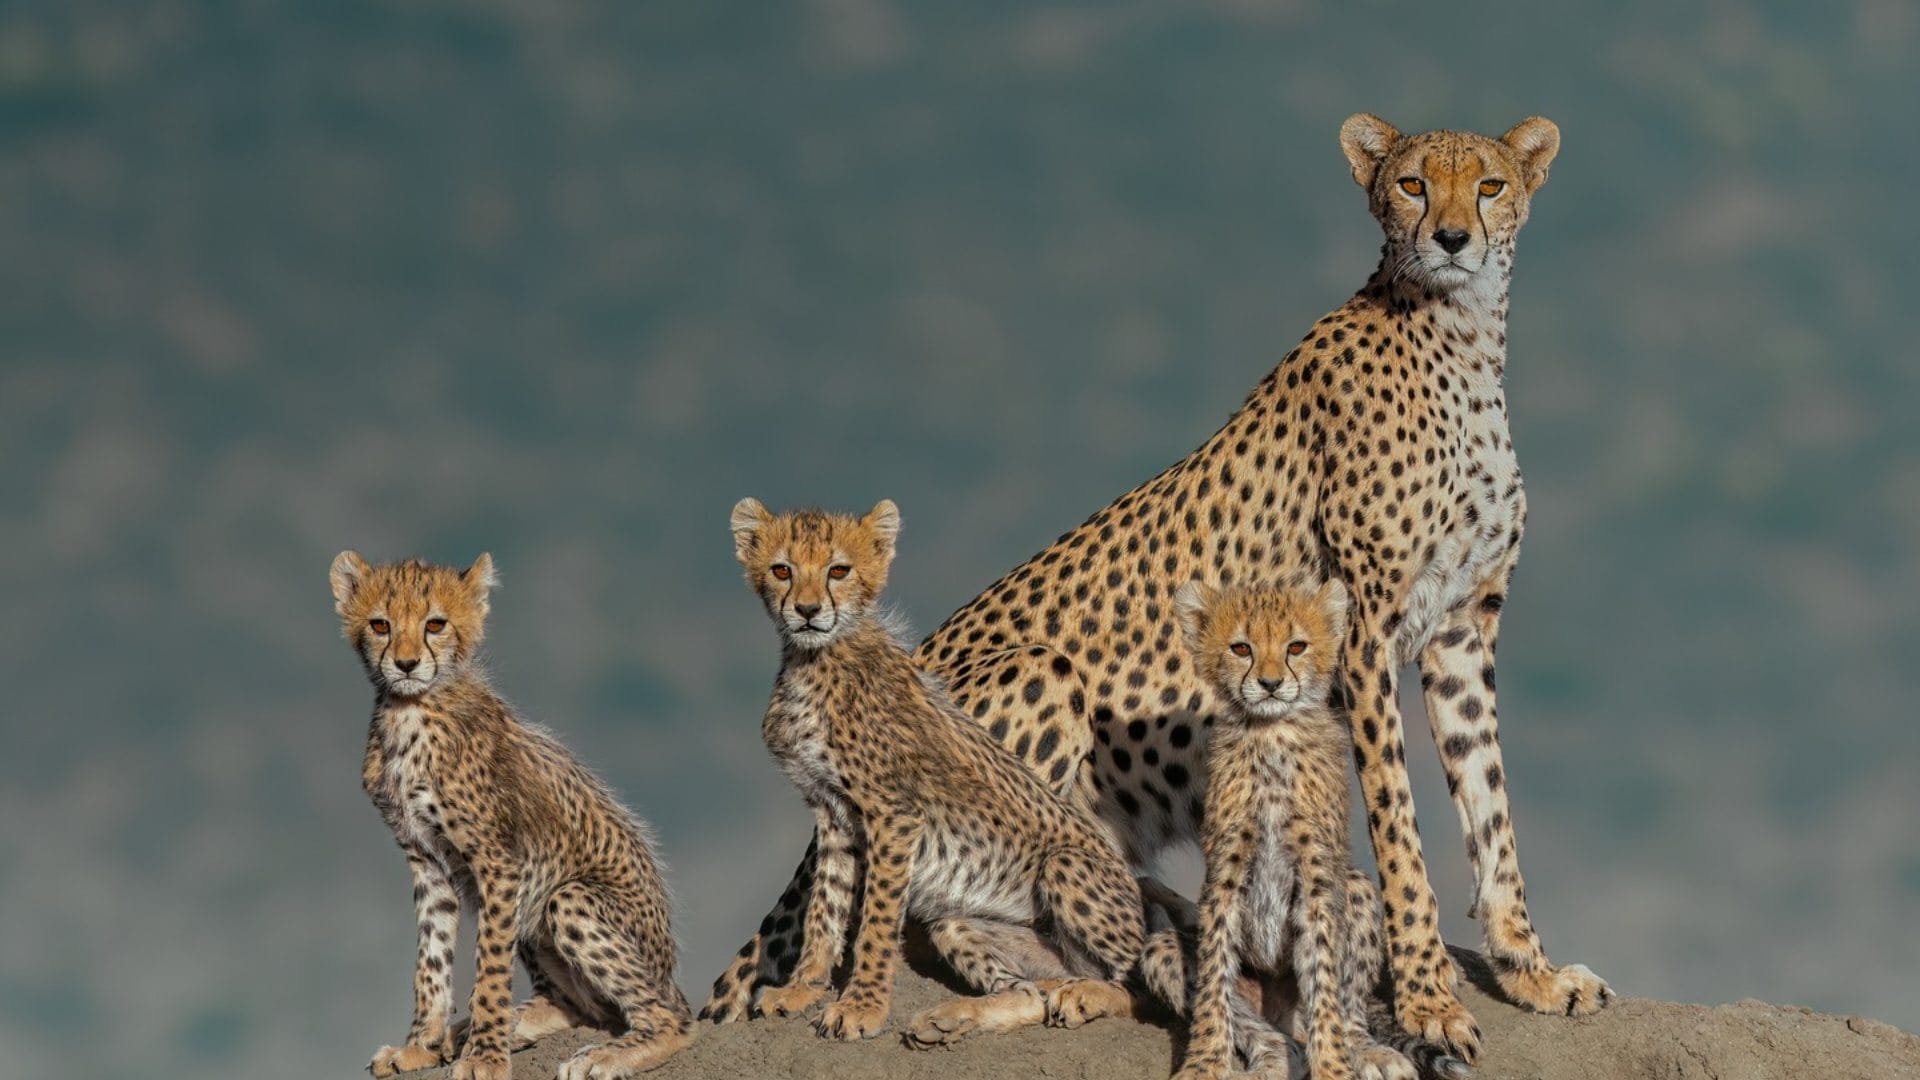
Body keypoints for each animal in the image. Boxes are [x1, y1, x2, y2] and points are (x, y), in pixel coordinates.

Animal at [331, 551, 692, 1080]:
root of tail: (670, 977)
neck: (410, 710)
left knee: (668, 1019)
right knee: (582, 1006)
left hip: (565, 896)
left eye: (435, 624)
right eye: (381, 625)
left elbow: (489, 968)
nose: (406, 664)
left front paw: (484, 1056)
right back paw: (485, 1030)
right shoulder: (428, 860)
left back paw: (602, 1054)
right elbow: (431, 959)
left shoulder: (498, 863)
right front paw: (421, 1045)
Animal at [729, 498, 1146, 1046]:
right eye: (783, 570)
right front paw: (803, 988)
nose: (807, 610)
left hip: (1066, 868)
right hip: (961, 924)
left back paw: (1085, 997)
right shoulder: (834, 813)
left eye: (838, 571)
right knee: (1029, 995)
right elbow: (826, 906)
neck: (816, 660)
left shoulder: (894, 815)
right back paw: (952, 1019)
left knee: (1141, 987)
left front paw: (861, 1008)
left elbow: (877, 920)